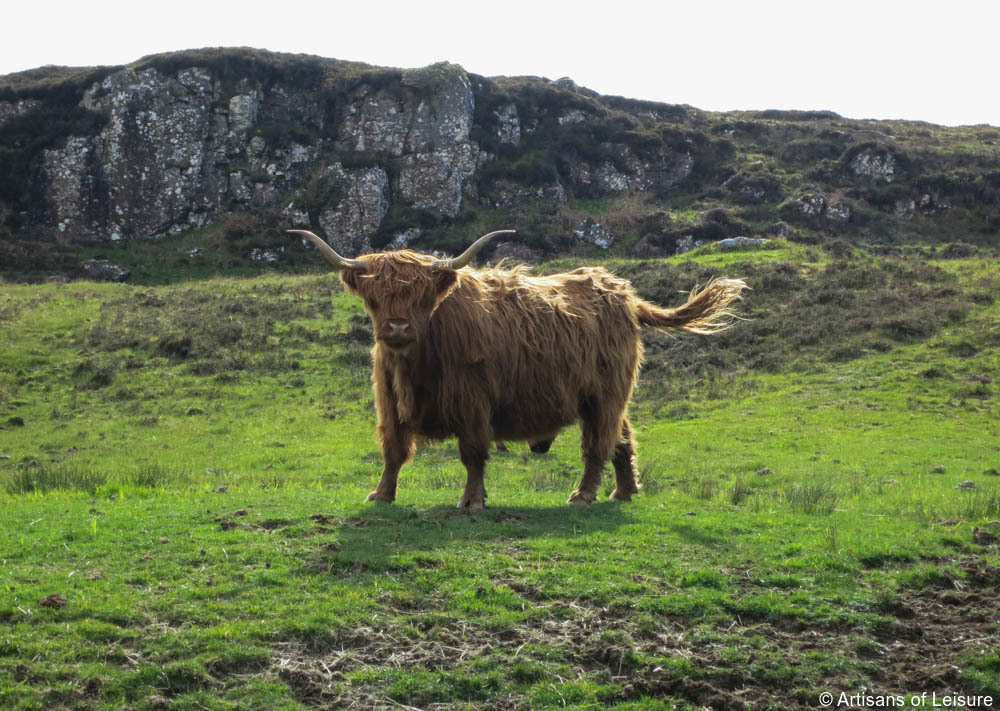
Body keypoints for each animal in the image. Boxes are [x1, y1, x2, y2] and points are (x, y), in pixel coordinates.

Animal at [288, 231, 744, 508]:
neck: (416, 364)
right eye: (375, 297)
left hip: (605, 392)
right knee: (623, 438)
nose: (397, 328)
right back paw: (624, 492)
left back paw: (584, 495)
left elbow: (472, 454)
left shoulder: (473, 400)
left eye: (421, 297)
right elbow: (394, 451)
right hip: (607, 397)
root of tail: (622, 292)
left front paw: (472, 501)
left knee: (598, 444)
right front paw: (381, 495)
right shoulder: (389, 401)